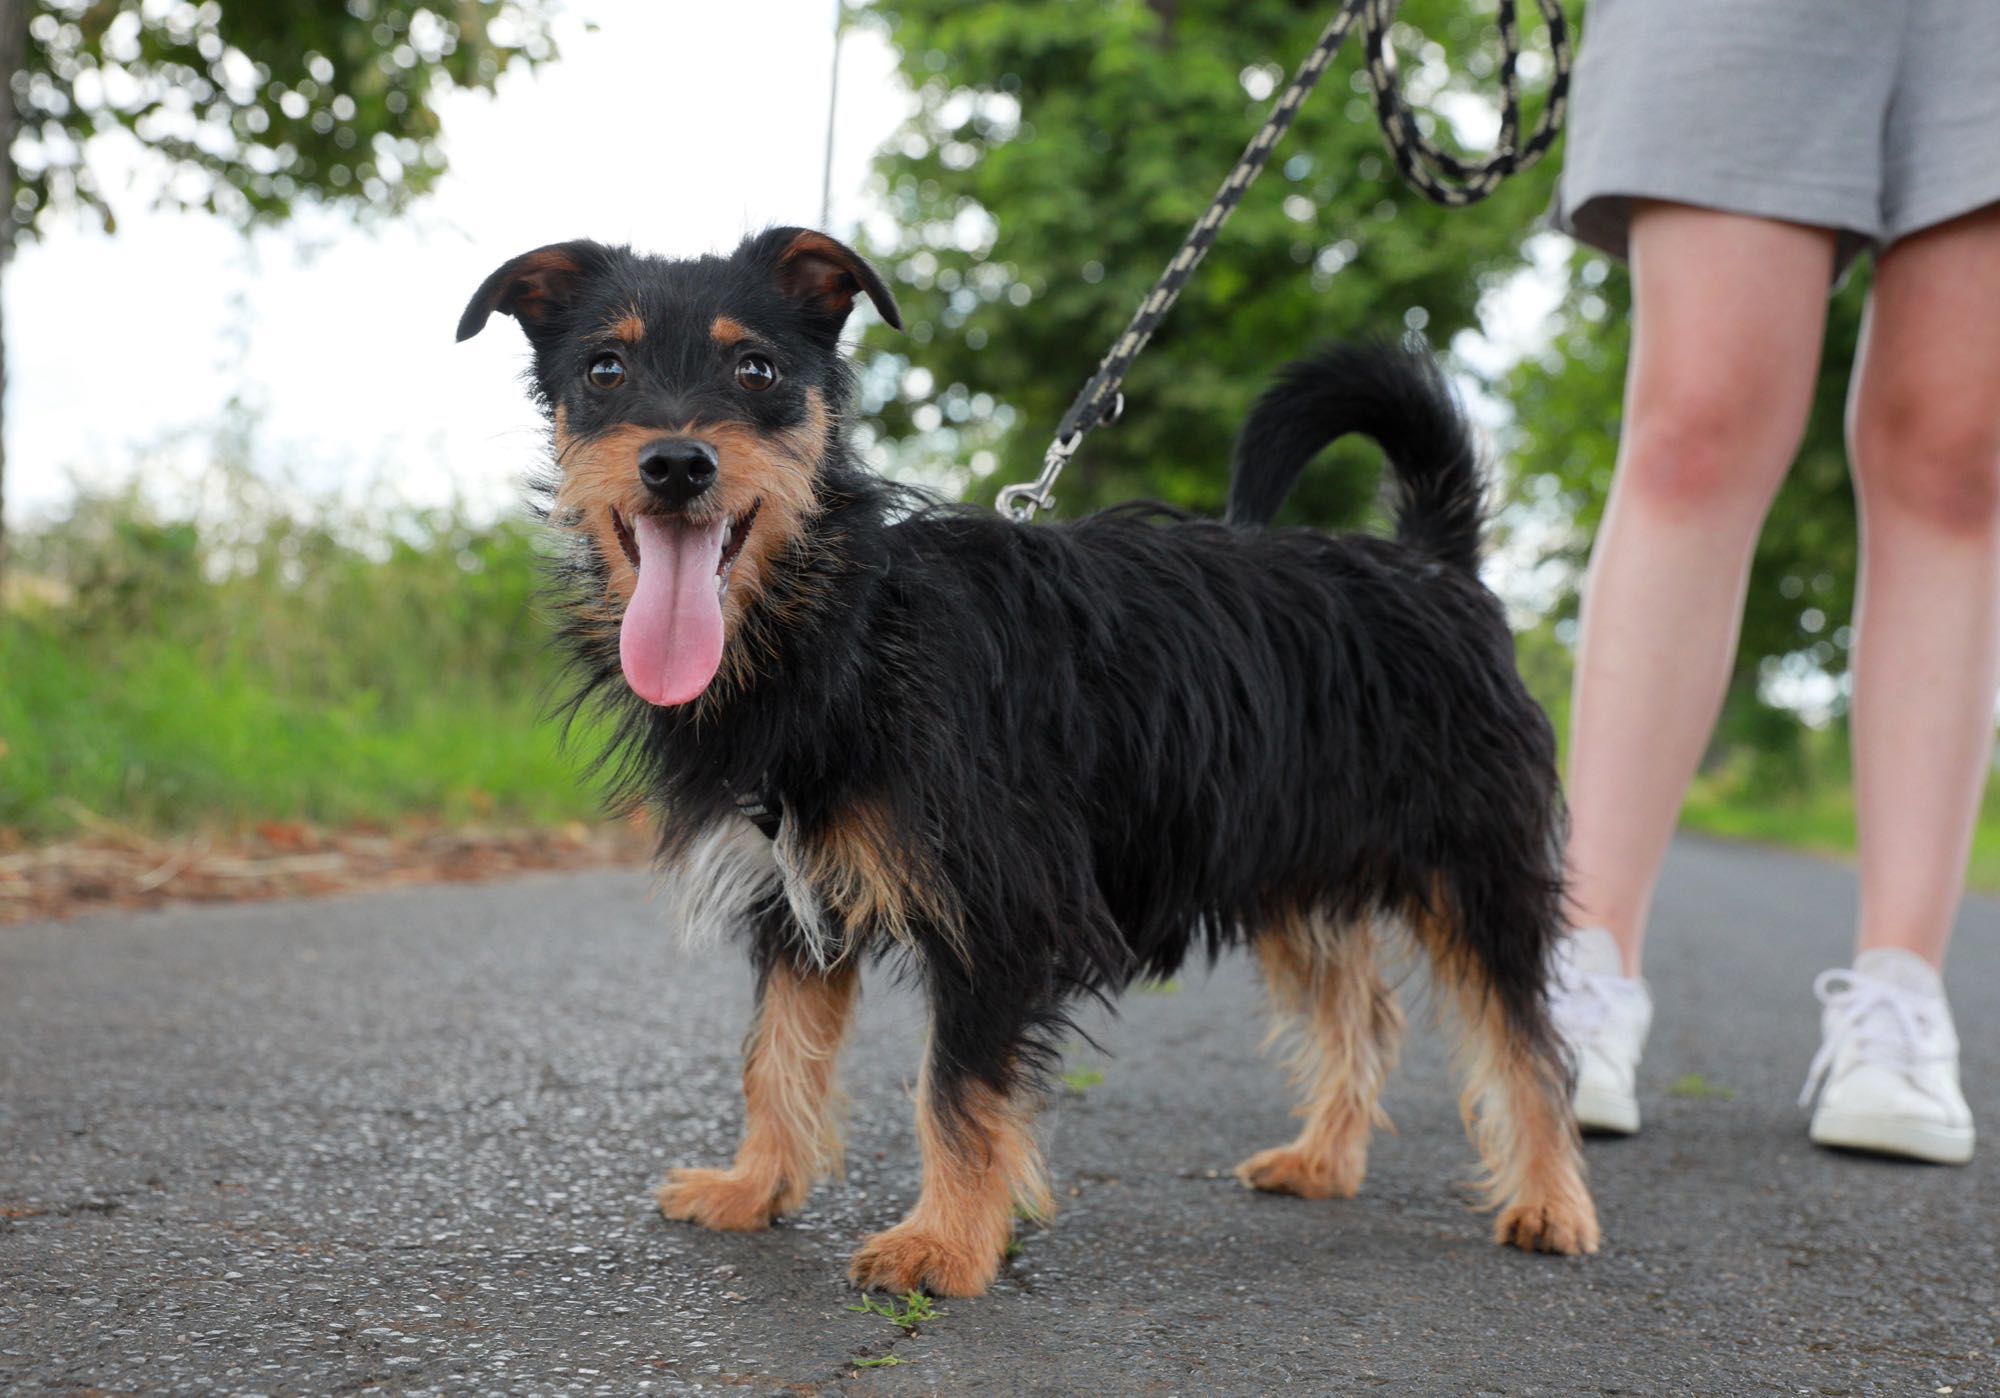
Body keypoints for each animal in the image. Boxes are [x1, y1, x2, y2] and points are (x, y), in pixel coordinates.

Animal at [460, 224, 1600, 1296]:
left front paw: (946, 1247)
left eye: (758, 371)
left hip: (1476, 870)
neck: (848, 626)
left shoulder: (998, 909)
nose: (676, 464)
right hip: (1289, 864)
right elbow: (773, 1058)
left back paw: (1550, 1202)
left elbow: (955, 1091)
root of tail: (1434, 564)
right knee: (1362, 1014)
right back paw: (1324, 1159)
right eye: (605, 370)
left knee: (1526, 1041)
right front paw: (757, 1189)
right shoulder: (793, 902)